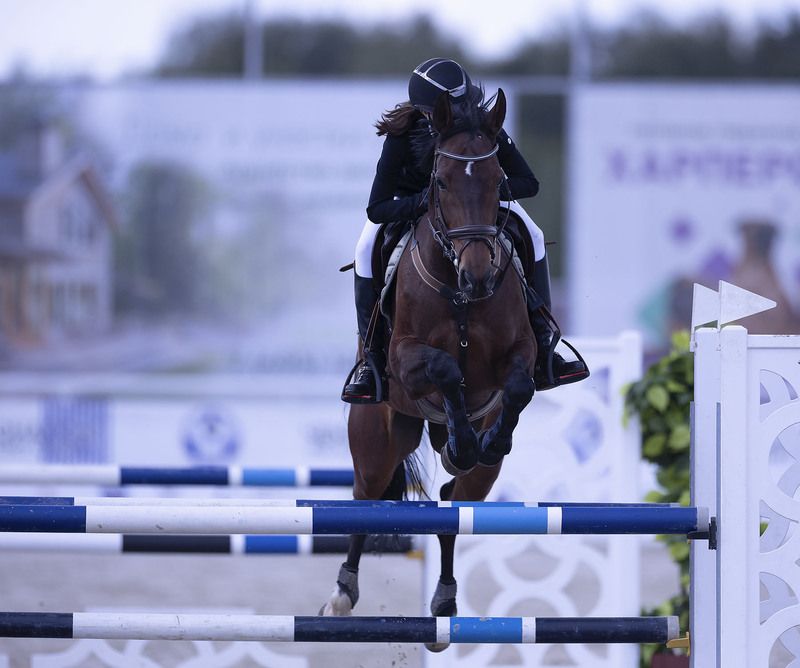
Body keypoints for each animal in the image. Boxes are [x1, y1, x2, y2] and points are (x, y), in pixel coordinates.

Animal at [322, 88, 537, 651]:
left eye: (499, 181)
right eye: (440, 182)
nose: (478, 274)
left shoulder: (521, 353)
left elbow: (519, 384)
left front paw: (487, 440)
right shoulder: (405, 359)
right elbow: (443, 368)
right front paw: (463, 438)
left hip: (480, 480)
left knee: (452, 507)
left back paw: (444, 604)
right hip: (377, 440)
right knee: (365, 499)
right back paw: (341, 595)